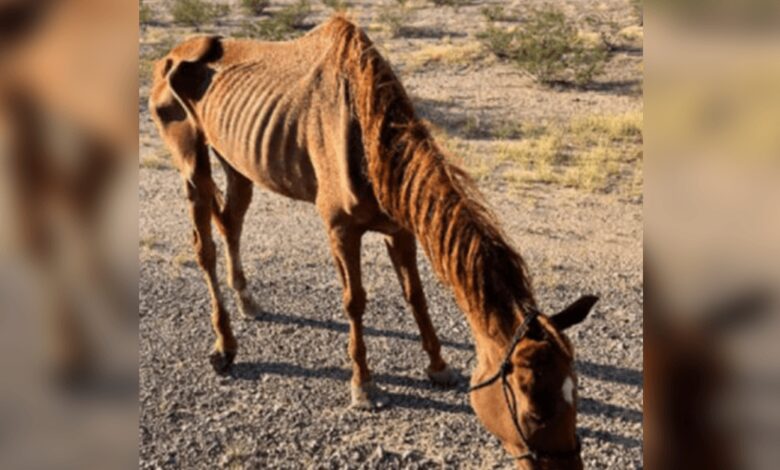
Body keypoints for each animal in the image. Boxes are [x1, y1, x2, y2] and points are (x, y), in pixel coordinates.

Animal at [151, 16, 596, 468]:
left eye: (576, 394)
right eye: (532, 410)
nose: (569, 465)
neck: (368, 138)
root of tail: (170, 56)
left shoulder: (400, 229)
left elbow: (415, 295)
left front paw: (438, 366)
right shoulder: (341, 230)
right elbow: (355, 302)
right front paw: (363, 385)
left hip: (237, 164)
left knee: (231, 226)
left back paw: (248, 301)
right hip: (192, 164)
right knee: (204, 247)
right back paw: (224, 345)